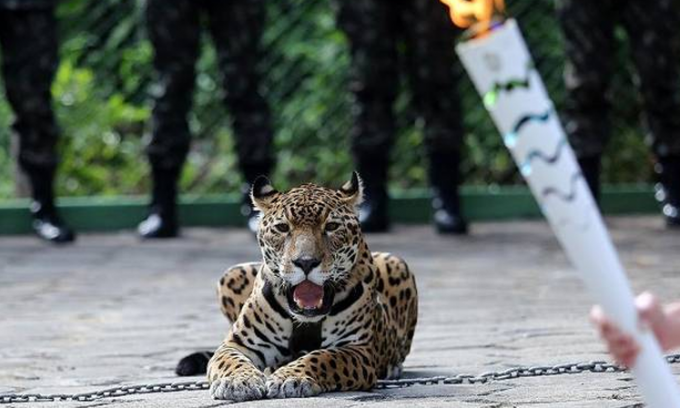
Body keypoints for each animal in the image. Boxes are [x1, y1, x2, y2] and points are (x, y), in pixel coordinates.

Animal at [177, 172, 418, 401]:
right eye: (283, 228)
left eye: (331, 226)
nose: (306, 262)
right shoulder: (238, 344)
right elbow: (230, 361)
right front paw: (238, 382)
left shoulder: (359, 350)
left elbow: (323, 357)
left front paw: (290, 377)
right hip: (232, 274)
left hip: (395, 263)